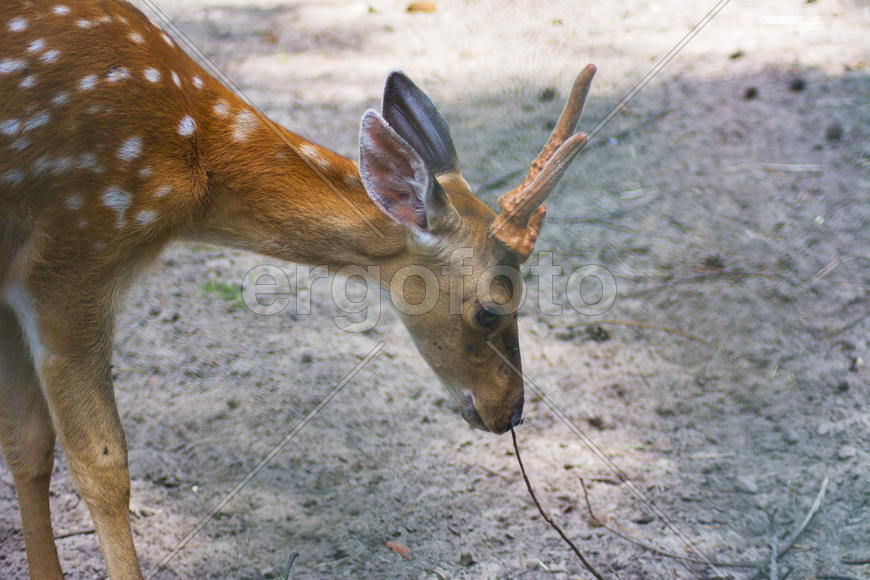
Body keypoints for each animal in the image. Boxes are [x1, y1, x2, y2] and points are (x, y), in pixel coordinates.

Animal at [0, 0, 596, 577]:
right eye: (492, 309)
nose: (511, 411)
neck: (191, 165)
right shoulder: (73, 257)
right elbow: (102, 466)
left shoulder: (14, 278)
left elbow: (27, 445)